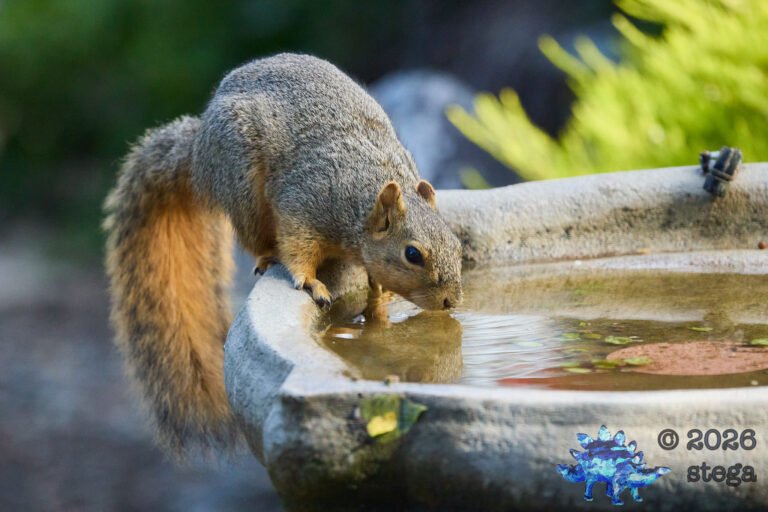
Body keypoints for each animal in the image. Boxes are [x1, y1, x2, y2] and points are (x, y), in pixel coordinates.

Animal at [103, 53, 463, 455]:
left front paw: (379, 299)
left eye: (457, 244)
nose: (451, 301)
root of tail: (199, 155)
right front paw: (310, 282)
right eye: (412, 254)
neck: (359, 199)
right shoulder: (303, 204)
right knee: (256, 237)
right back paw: (266, 257)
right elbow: (298, 247)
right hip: (243, 186)